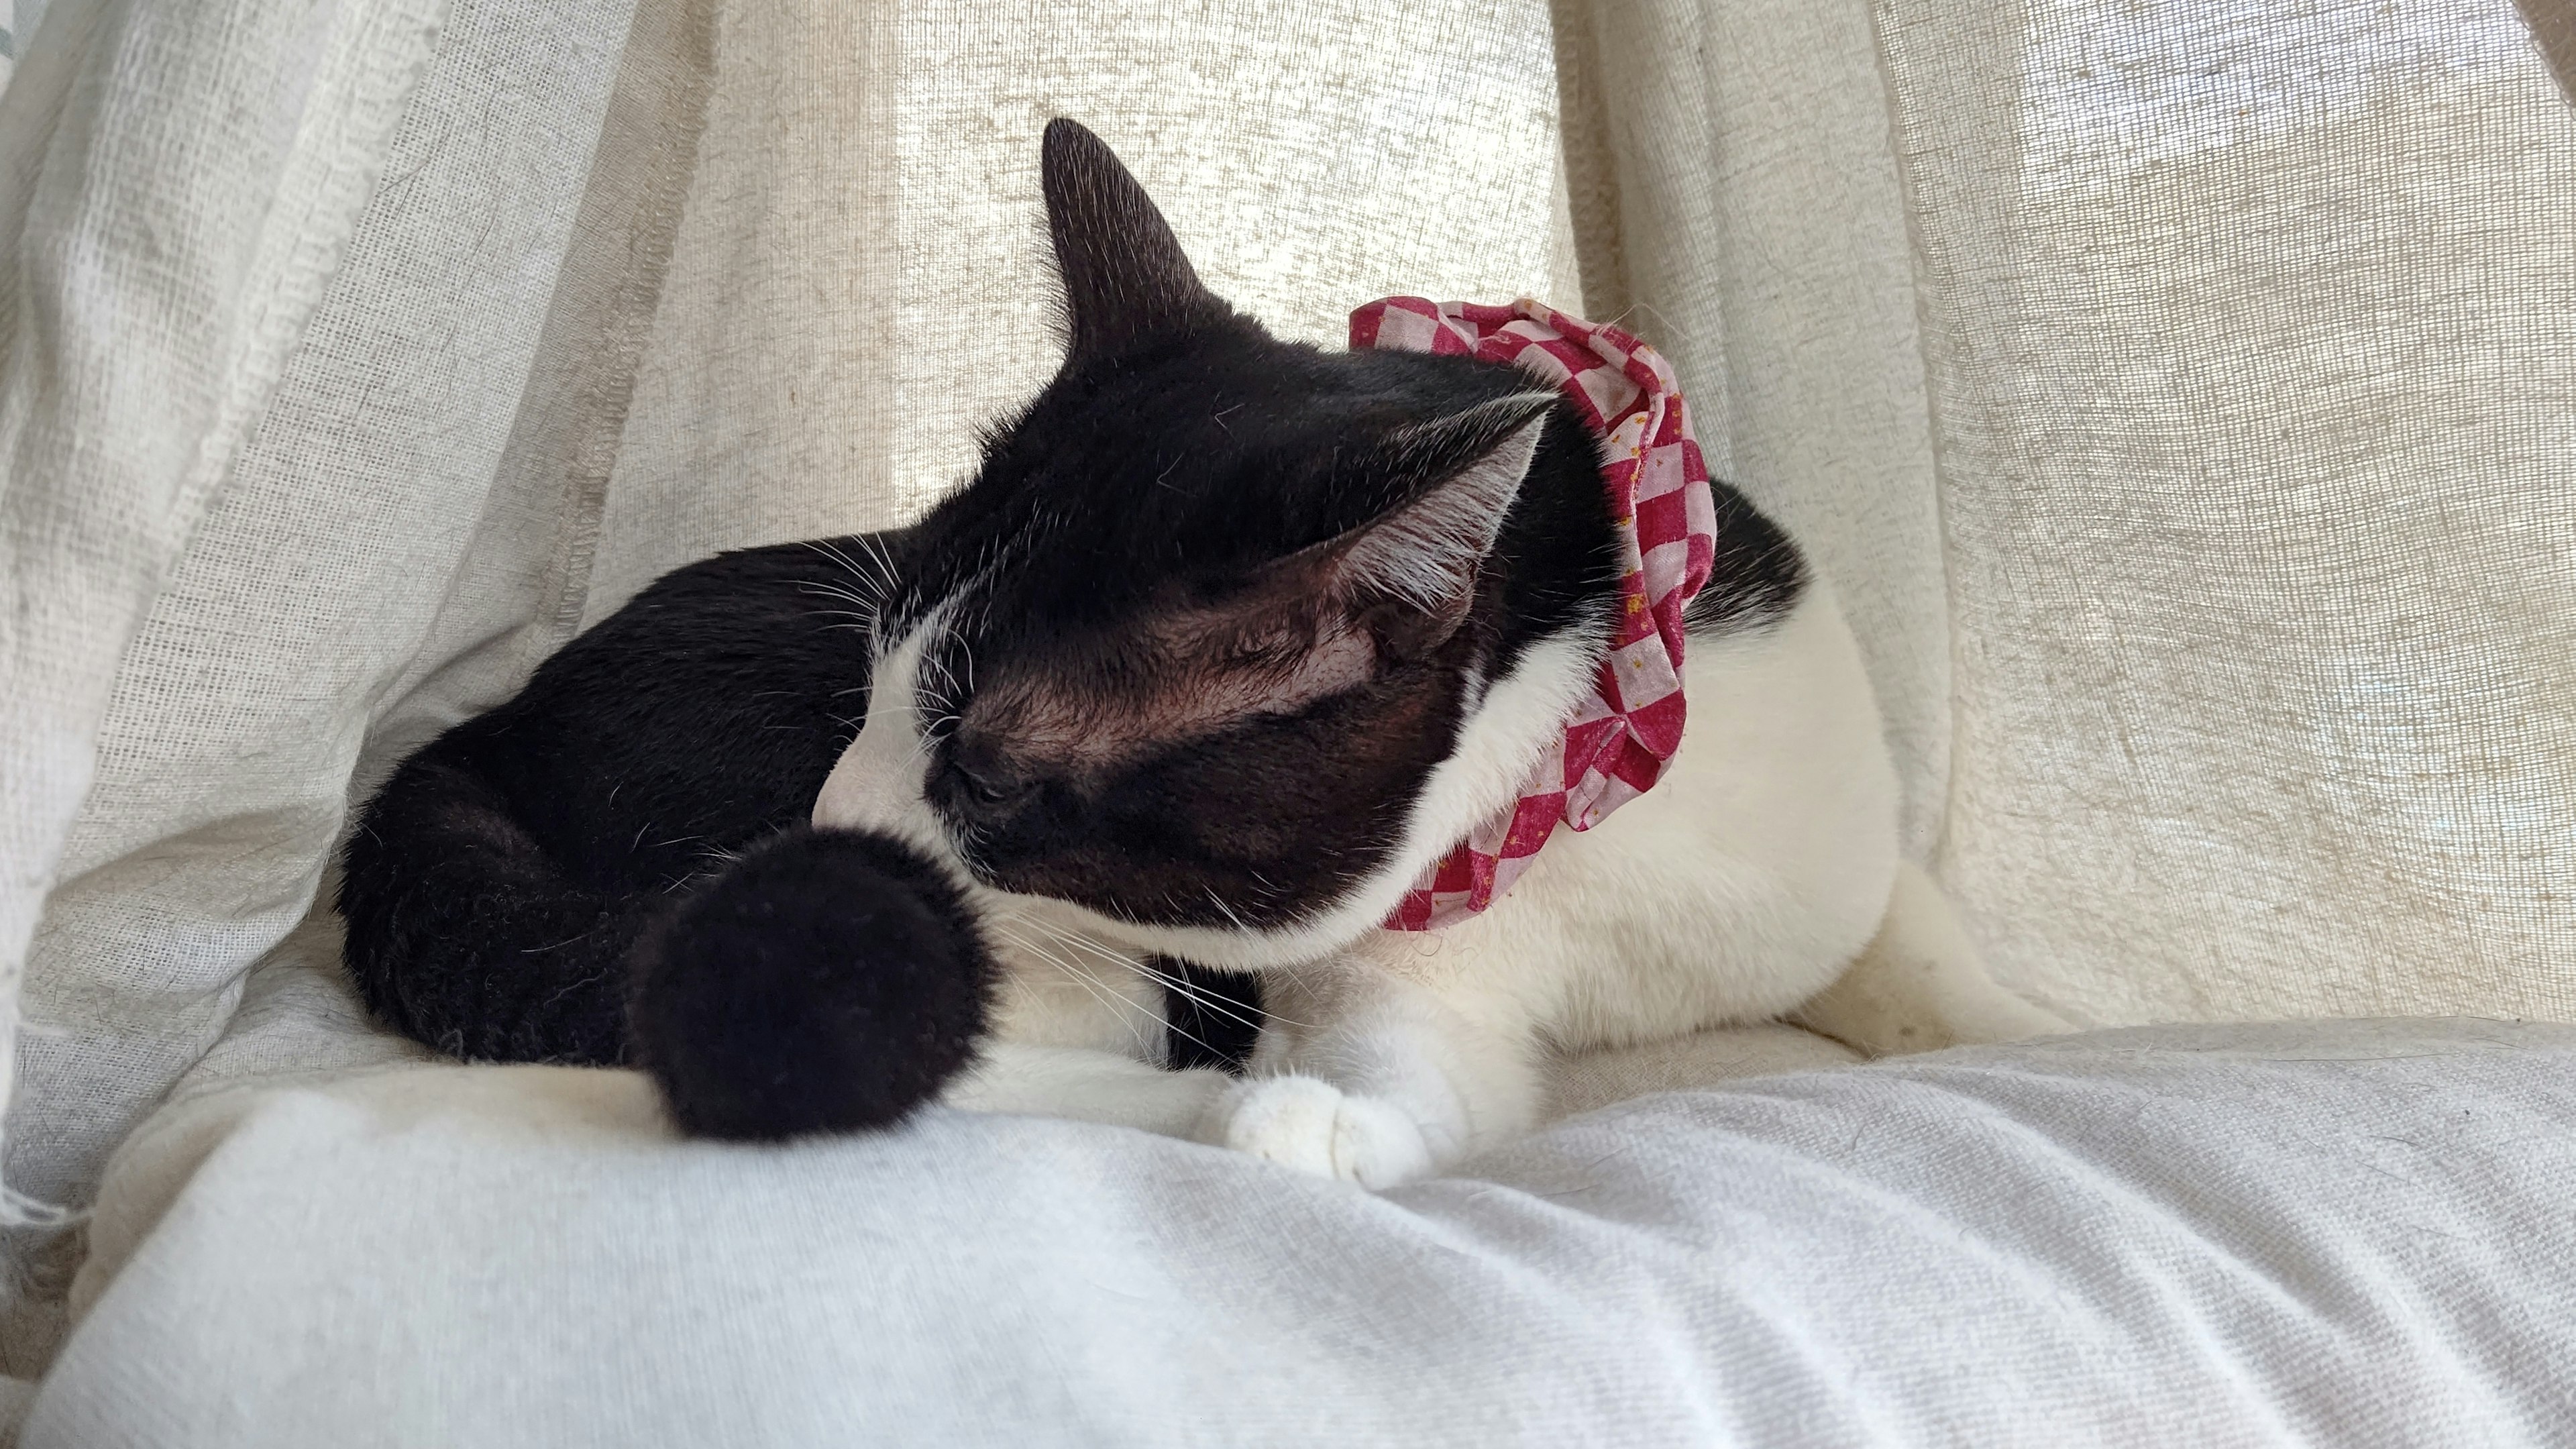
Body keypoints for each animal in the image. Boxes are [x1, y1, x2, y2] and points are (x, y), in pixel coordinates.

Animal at [342, 118, 2061, 1181]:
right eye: (876, 674)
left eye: (985, 775)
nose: (832, 808)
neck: (1578, 790)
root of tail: (471, 739)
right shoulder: (1363, 974)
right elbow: (1409, 1064)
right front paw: (1307, 1122)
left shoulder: (1806, 802)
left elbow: (1909, 944)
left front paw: (2067, 1029)